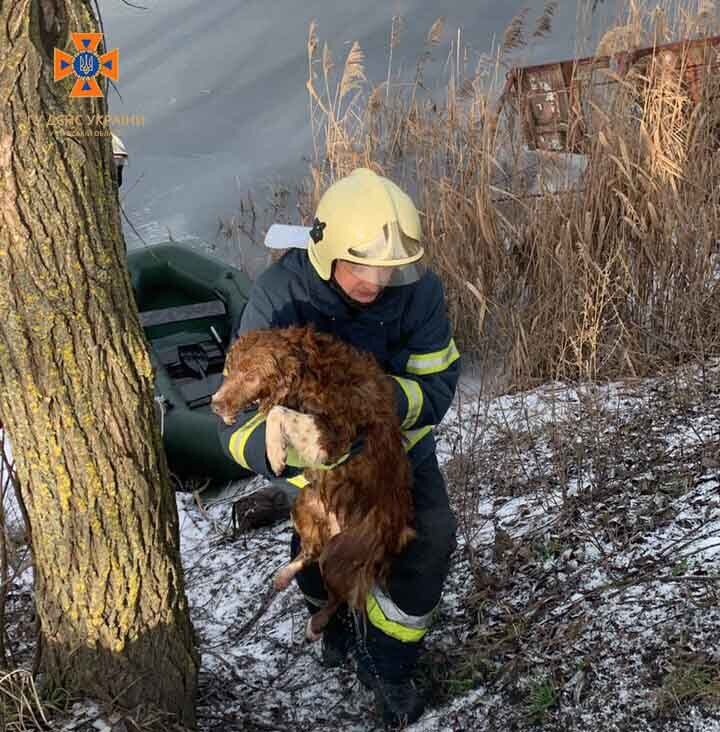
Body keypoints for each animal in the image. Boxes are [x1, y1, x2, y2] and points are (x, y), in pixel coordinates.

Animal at [211, 326, 414, 640]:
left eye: (250, 375)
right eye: (229, 371)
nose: (215, 405)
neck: (310, 369)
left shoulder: (333, 438)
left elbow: (276, 413)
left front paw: (275, 453)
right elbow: (277, 412)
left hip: (339, 553)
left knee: (339, 596)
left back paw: (315, 624)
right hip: (304, 503)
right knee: (309, 553)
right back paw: (283, 576)